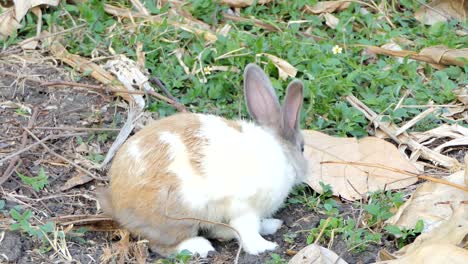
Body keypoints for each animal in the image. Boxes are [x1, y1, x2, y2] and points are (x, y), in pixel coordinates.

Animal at [98, 63, 308, 256]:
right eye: (303, 147)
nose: (306, 171)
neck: (282, 153)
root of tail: (116, 202)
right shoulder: (244, 208)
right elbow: (248, 231)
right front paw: (265, 247)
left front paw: (272, 224)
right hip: (179, 216)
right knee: (161, 245)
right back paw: (199, 246)